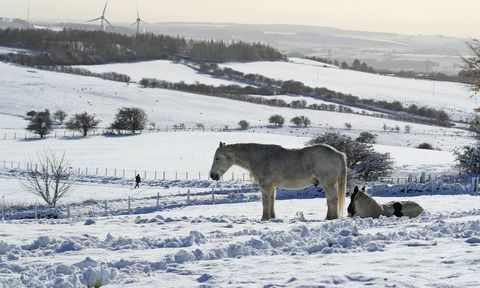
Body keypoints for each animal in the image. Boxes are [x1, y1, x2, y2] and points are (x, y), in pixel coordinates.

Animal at [208, 142, 346, 220]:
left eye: (217, 158)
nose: (212, 175)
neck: (259, 157)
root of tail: (338, 153)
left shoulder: (265, 186)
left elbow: (265, 202)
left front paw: (264, 219)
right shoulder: (272, 186)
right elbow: (272, 201)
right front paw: (272, 217)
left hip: (328, 184)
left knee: (333, 200)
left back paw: (331, 218)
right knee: (330, 201)